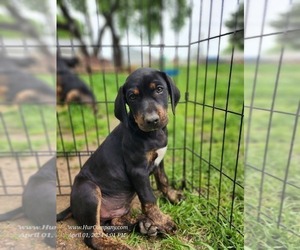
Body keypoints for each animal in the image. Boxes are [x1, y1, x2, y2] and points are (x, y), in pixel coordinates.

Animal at [57, 67, 182, 249]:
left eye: (159, 89)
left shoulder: (159, 162)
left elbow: (163, 181)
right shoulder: (138, 170)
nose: (152, 120)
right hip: (89, 191)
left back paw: (144, 226)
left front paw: (173, 197)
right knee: (92, 235)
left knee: (113, 224)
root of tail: (72, 207)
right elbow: (149, 198)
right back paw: (121, 243)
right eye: (132, 97)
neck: (152, 134)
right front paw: (163, 221)